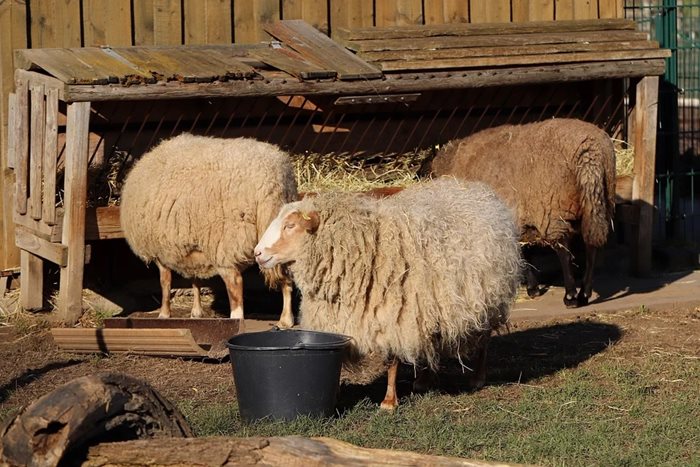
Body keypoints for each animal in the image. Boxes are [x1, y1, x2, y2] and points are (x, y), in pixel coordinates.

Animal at [120, 133, 298, 330]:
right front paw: (196, 312)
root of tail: (273, 181)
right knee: (287, 278)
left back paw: (235, 320)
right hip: (280, 241)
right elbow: (195, 279)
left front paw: (164, 314)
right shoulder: (191, 245)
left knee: (235, 284)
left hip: (225, 240)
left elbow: (165, 282)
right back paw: (285, 320)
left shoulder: (160, 250)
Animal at [254, 178, 524, 410]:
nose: (258, 253)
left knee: (484, 340)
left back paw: (477, 378)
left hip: (486, 300)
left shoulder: (395, 314)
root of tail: (475, 189)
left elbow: (392, 361)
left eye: (290, 226)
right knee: (430, 343)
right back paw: (424, 380)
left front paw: (389, 402)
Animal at [424, 118, 616, 308]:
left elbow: (522, 253)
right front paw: (533, 288)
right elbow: (526, 251)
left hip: (554, 210)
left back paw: (571, 296)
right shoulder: (520, 218)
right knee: (591, 246)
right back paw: (584, 293)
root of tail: (590, 151)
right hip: (598, 204)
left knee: (564, 250)